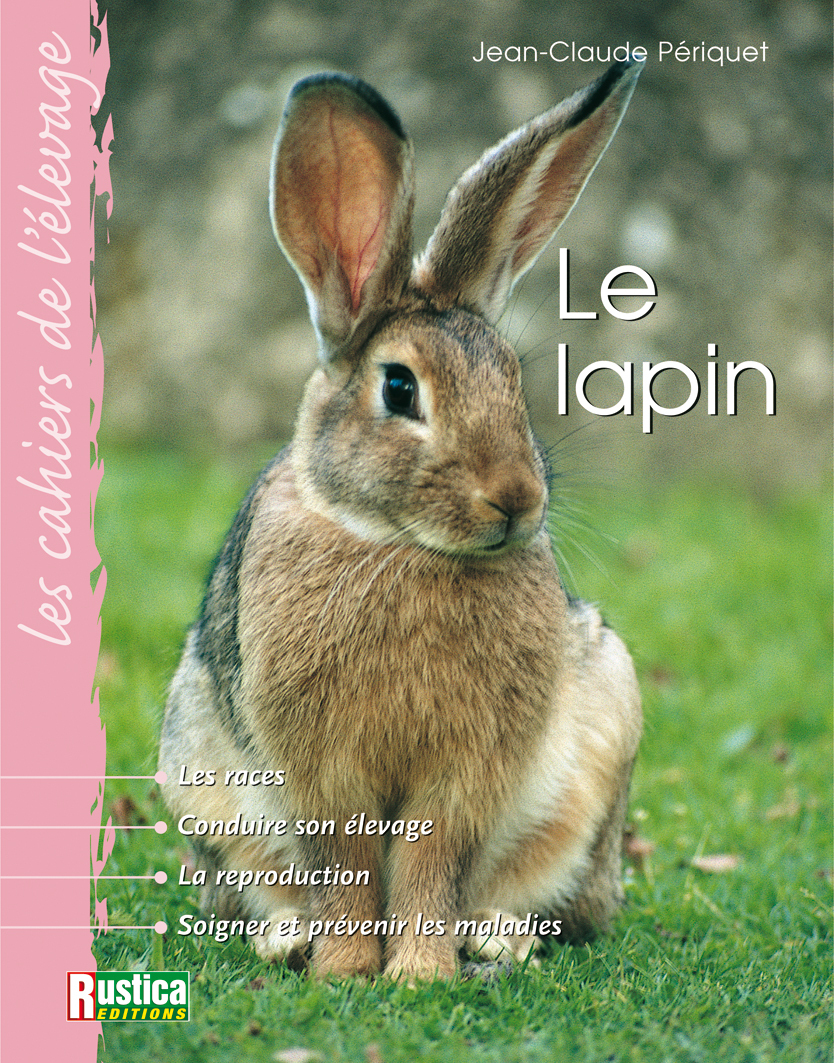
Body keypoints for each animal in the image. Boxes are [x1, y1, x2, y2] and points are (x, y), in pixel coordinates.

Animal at [159, 57, 644, 982]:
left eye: (513, 380)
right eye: (398, 388)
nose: (516, 498)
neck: (397, 544)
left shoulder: (463, 771)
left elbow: (431, 858)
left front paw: (420, 972)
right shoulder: (322, 773)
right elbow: (347, 859)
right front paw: (347, 968)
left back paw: (494, 937)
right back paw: (288, 937)